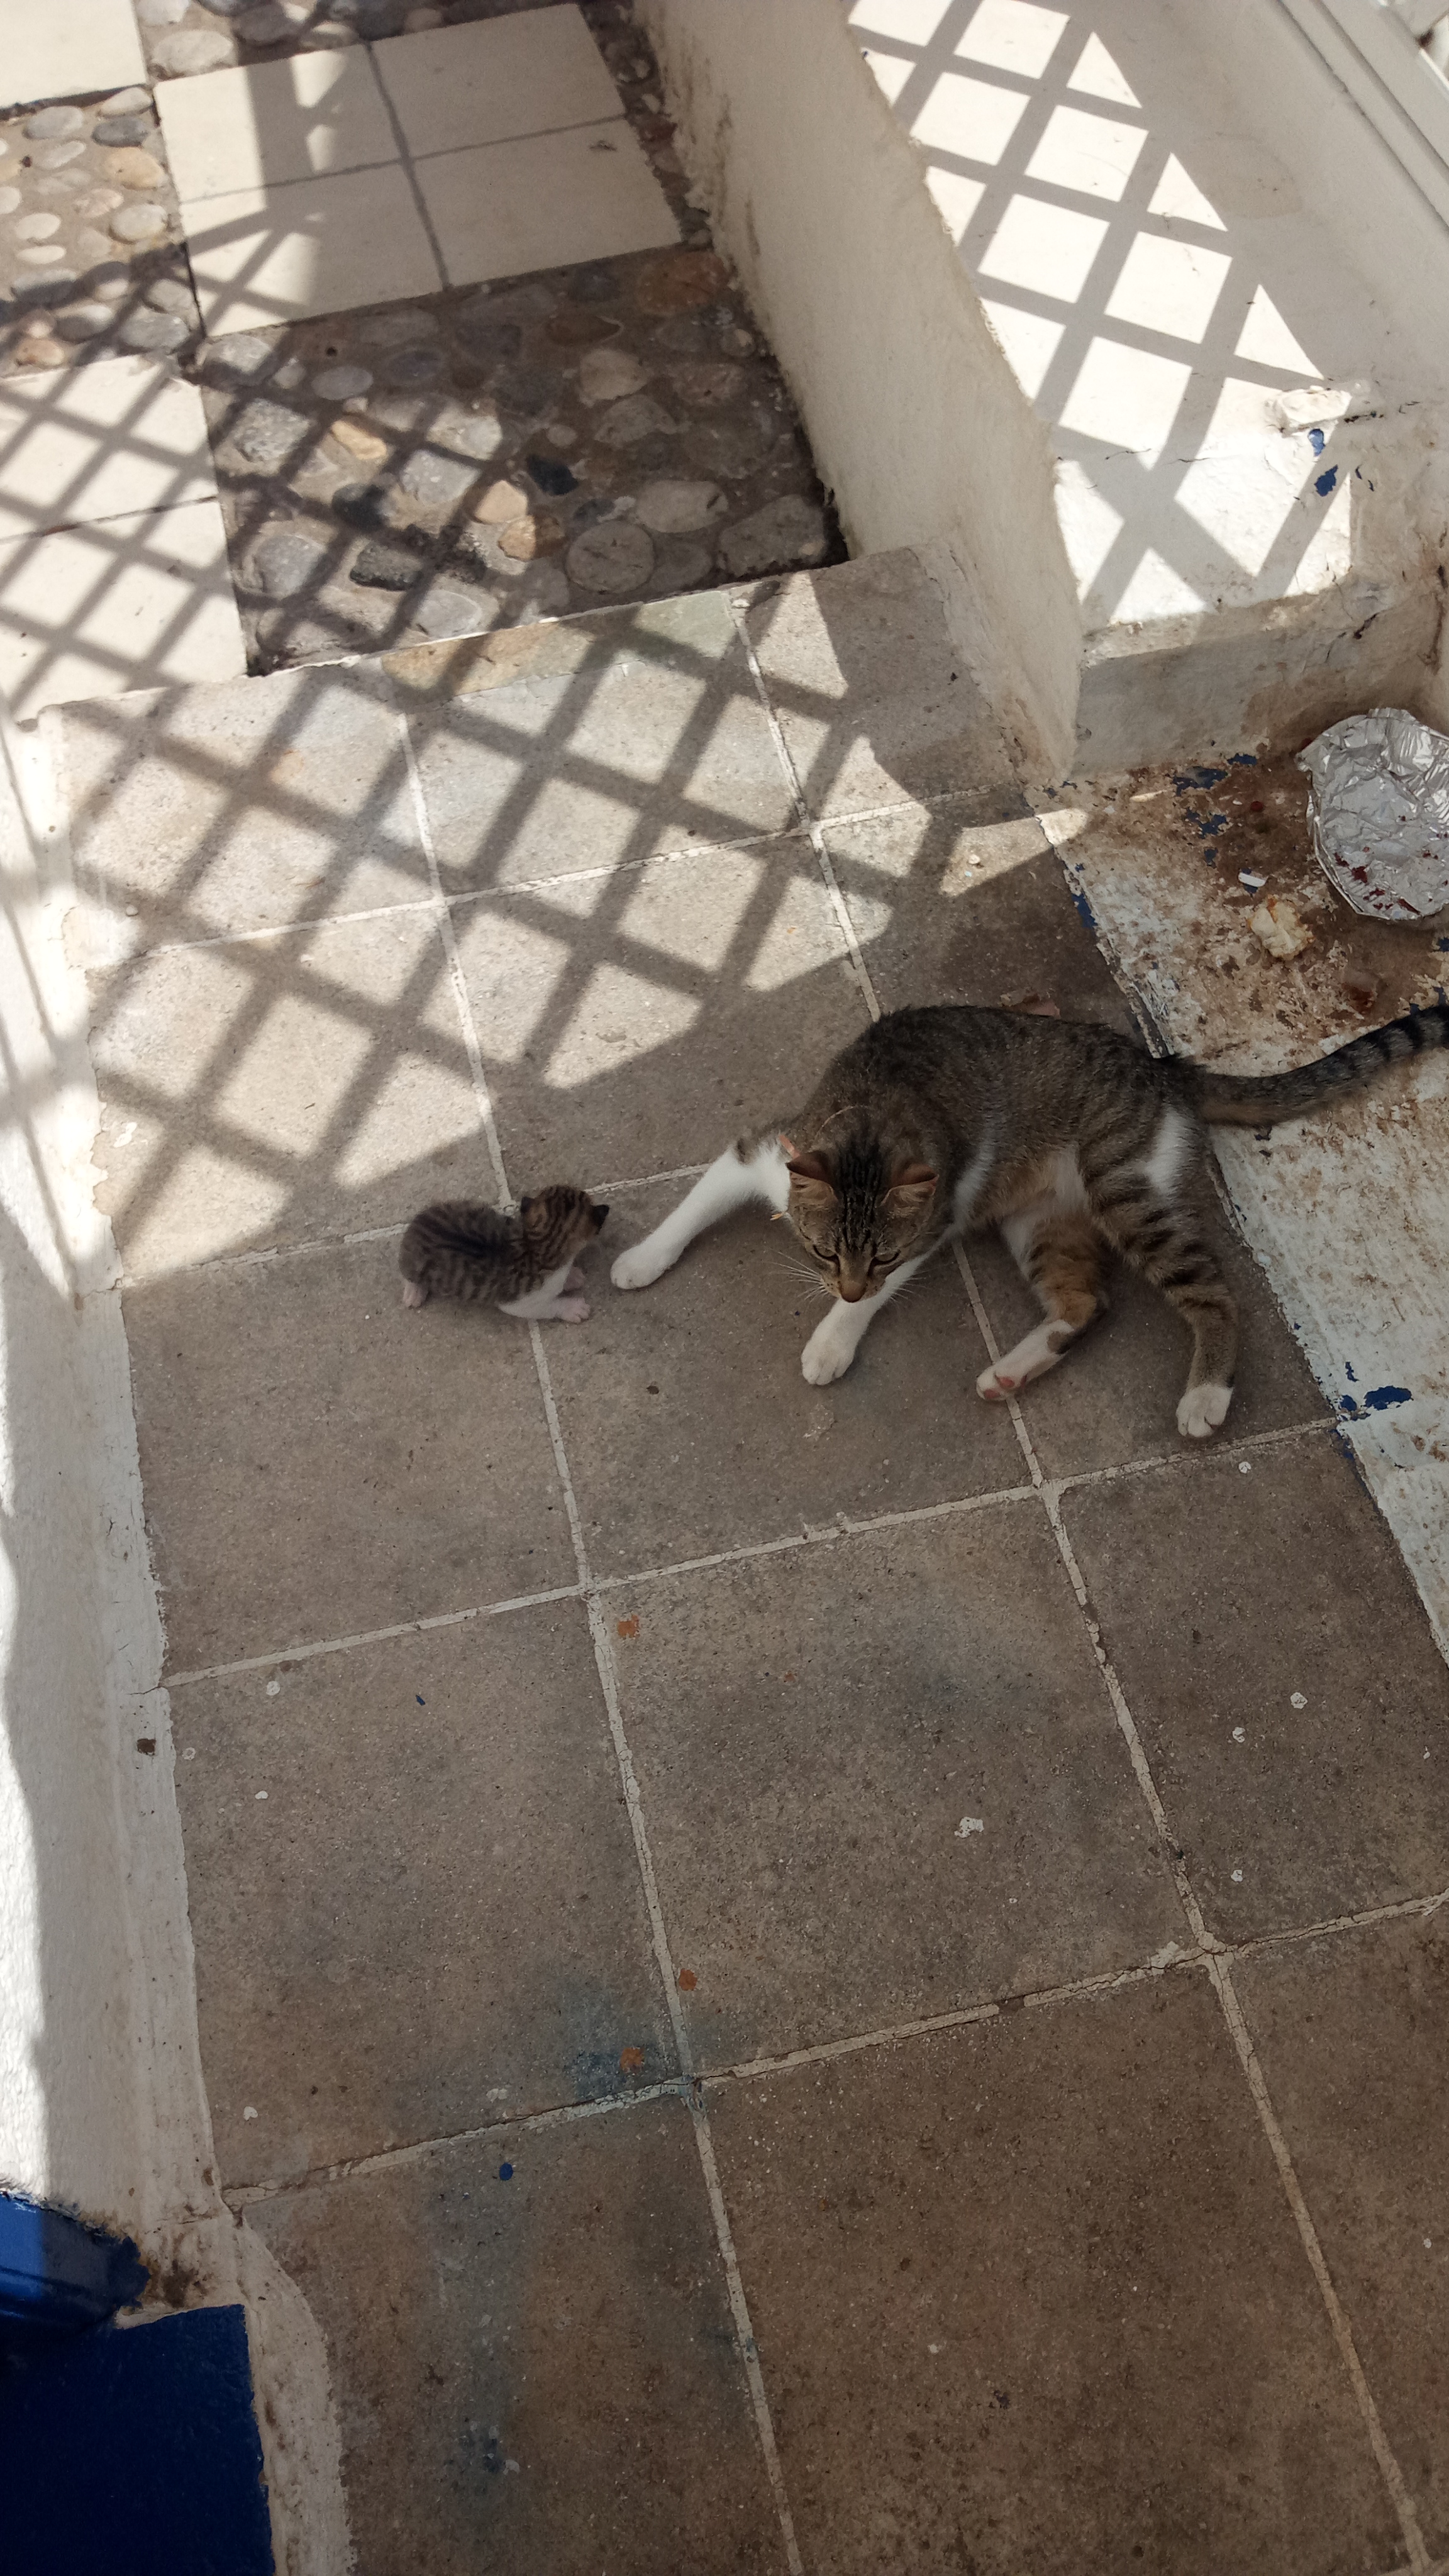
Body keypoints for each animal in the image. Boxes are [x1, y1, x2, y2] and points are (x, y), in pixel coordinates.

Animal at [400, 1185, 608, 1321]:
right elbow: (548, 1307)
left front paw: (571, 1277)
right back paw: (414, 1291)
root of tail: (416, 1225)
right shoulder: (520, 1303)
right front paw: (572, 1308)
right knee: (408, 1276)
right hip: (413, 1266)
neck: (536, 1247)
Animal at [609, 1000, 1449, 1439]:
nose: (843, 1288)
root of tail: (1162, 1067)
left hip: (1123, 1187)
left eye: (875, 1261)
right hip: (1042, 1224)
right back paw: (1011, 1370)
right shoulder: (760, 1152)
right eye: (820, 1251)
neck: (873, 1119)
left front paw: (831, 1340)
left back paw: (1205, 1395)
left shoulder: (935, 1221)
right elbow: (693, 1204)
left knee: (1211, 1288)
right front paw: (643, 1258)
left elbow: (874, 1300)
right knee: (1087, 1301)